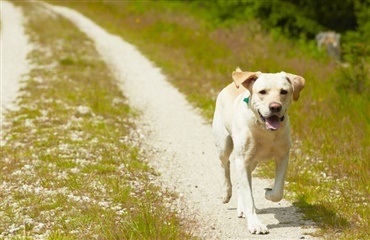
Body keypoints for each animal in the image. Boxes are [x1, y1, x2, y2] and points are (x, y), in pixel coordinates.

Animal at [212, 67, 304, 234]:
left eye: (284, 91)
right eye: (262, 92)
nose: (275, 107)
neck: (266, 131)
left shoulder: (283, 156)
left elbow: (278, 192)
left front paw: (268, 193)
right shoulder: (242, 160)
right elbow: (249, 196)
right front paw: (255, 224)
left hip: (252, 162)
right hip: (224, 145)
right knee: (225, 166)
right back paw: (226, 193)